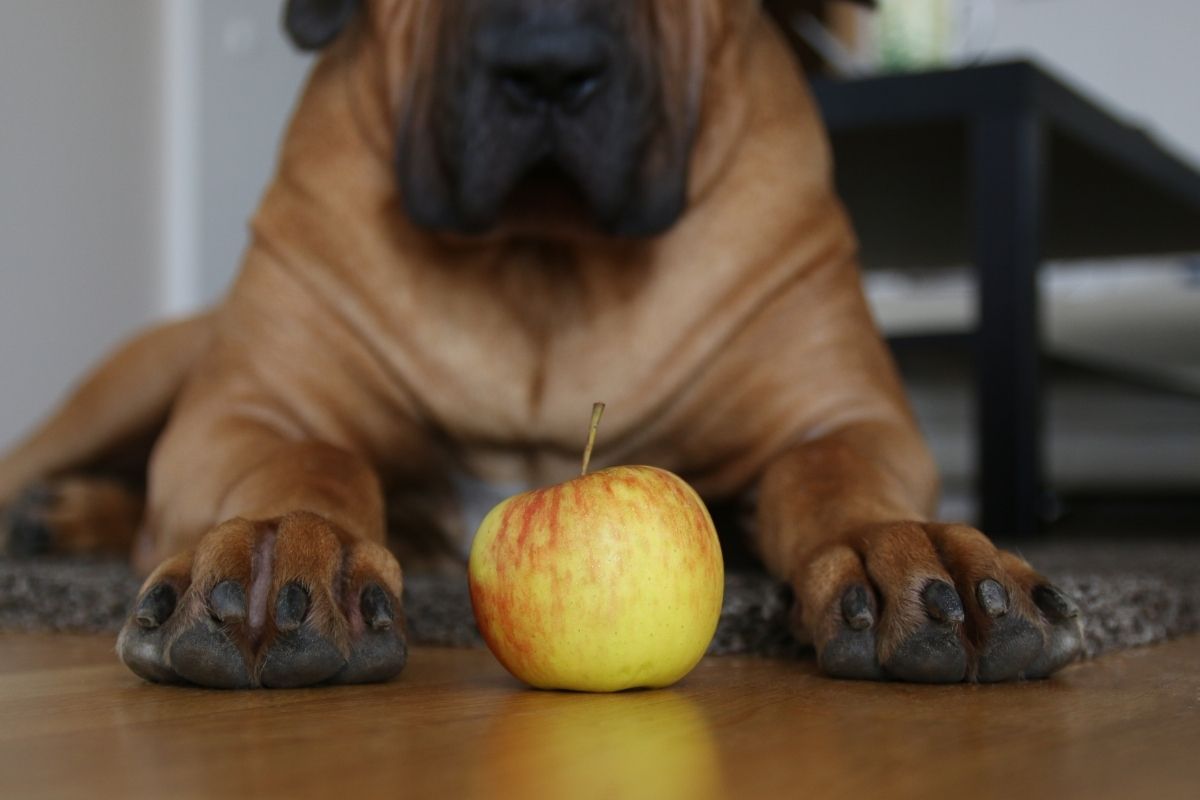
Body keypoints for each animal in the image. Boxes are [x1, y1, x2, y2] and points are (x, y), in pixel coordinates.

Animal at [0, 1, 1084, 690]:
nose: (548, 64)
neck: (544, 262)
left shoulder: (848, 419)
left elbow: (832, 474)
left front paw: (912, 551)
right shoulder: (243, 411)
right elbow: (311, 455)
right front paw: (281, 549)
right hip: (140, 377)